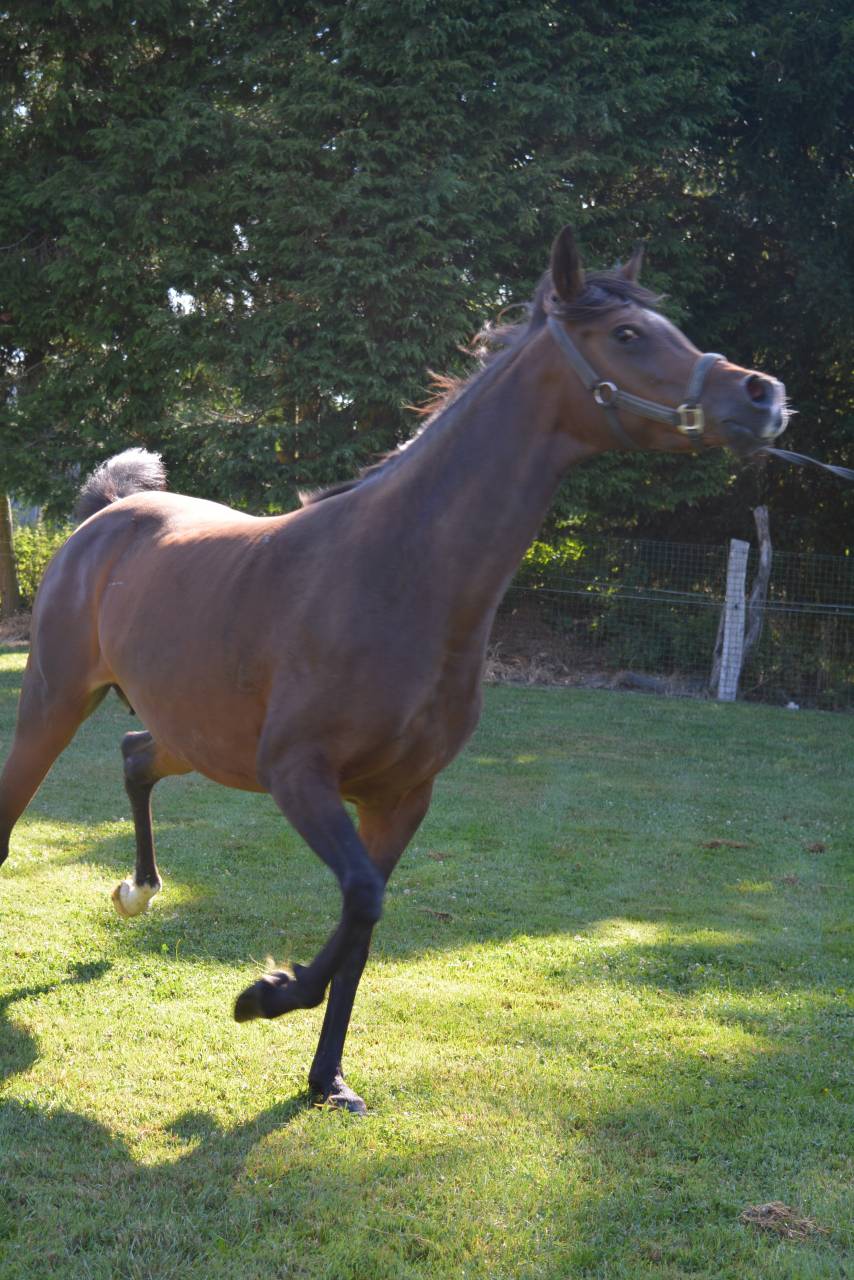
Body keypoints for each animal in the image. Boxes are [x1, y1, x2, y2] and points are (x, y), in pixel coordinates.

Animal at [0, 226, 788, 1113]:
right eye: (626, 335)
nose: (762, 394)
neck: (400, 574)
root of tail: (103, 515)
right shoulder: (298, 775)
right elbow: (361, 900)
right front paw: (263, 995)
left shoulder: (400, 798)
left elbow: (363, 932)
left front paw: (325, 1079)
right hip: (54, 706)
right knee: (12, 815)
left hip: (198, 737)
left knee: (137, 757)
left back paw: (137, 890)